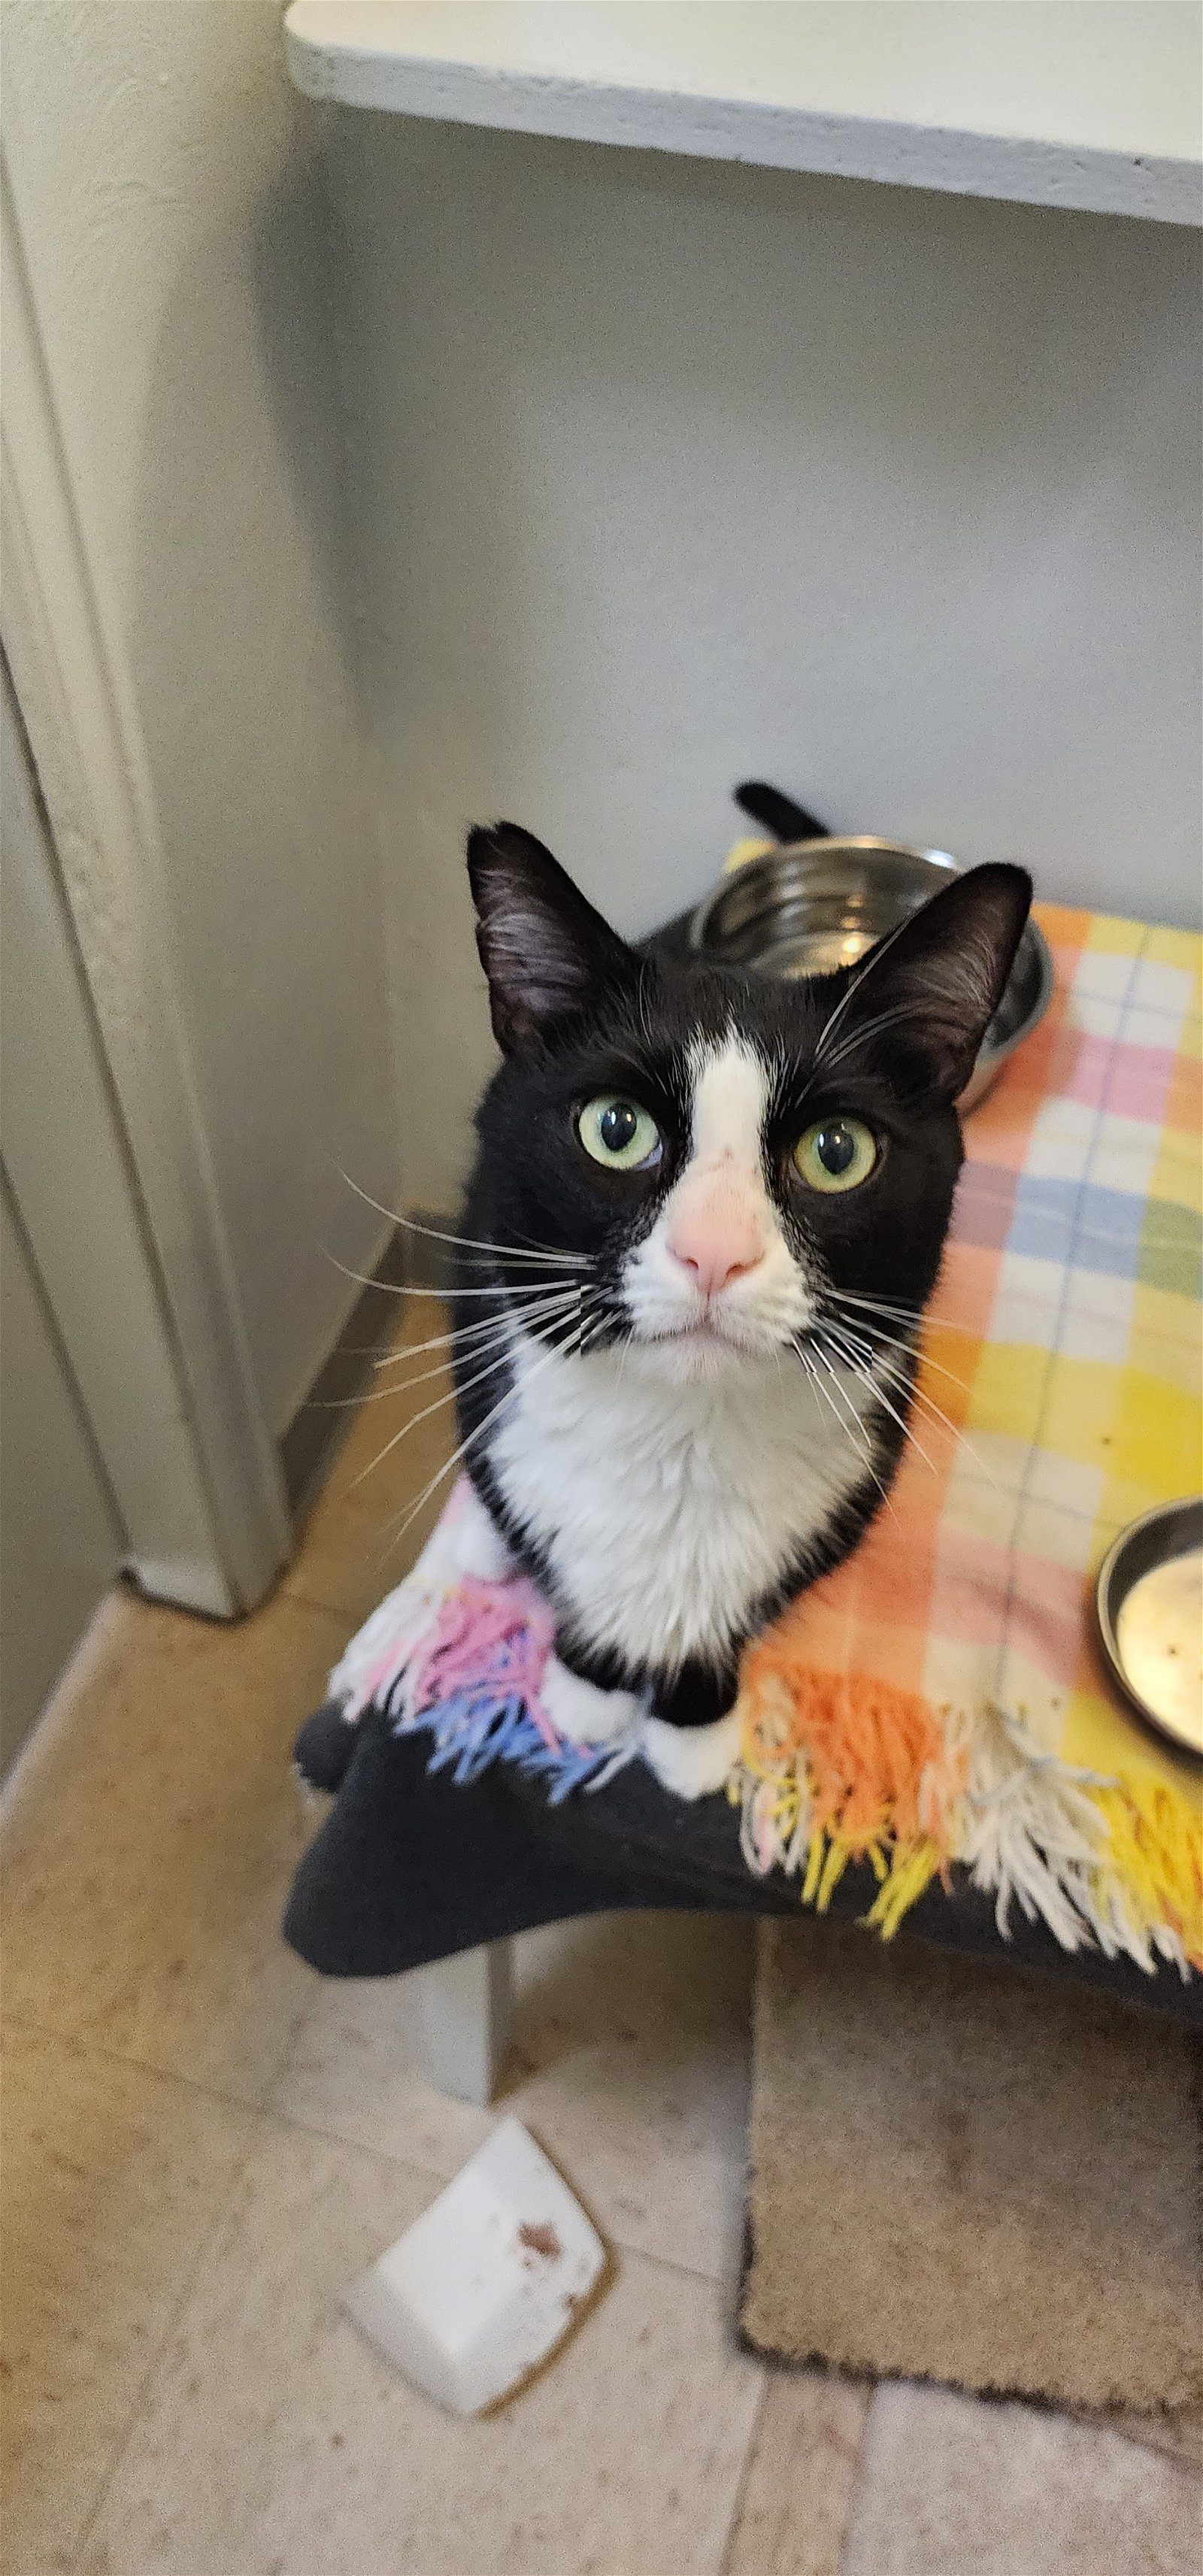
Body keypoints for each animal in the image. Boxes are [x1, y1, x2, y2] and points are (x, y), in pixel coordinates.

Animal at [425, 819, 1025, 1793]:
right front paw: (586, 1688)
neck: (684, 1442)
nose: (714, 1251)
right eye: (615, 1128)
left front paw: (692, 1726)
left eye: (836, 1150)